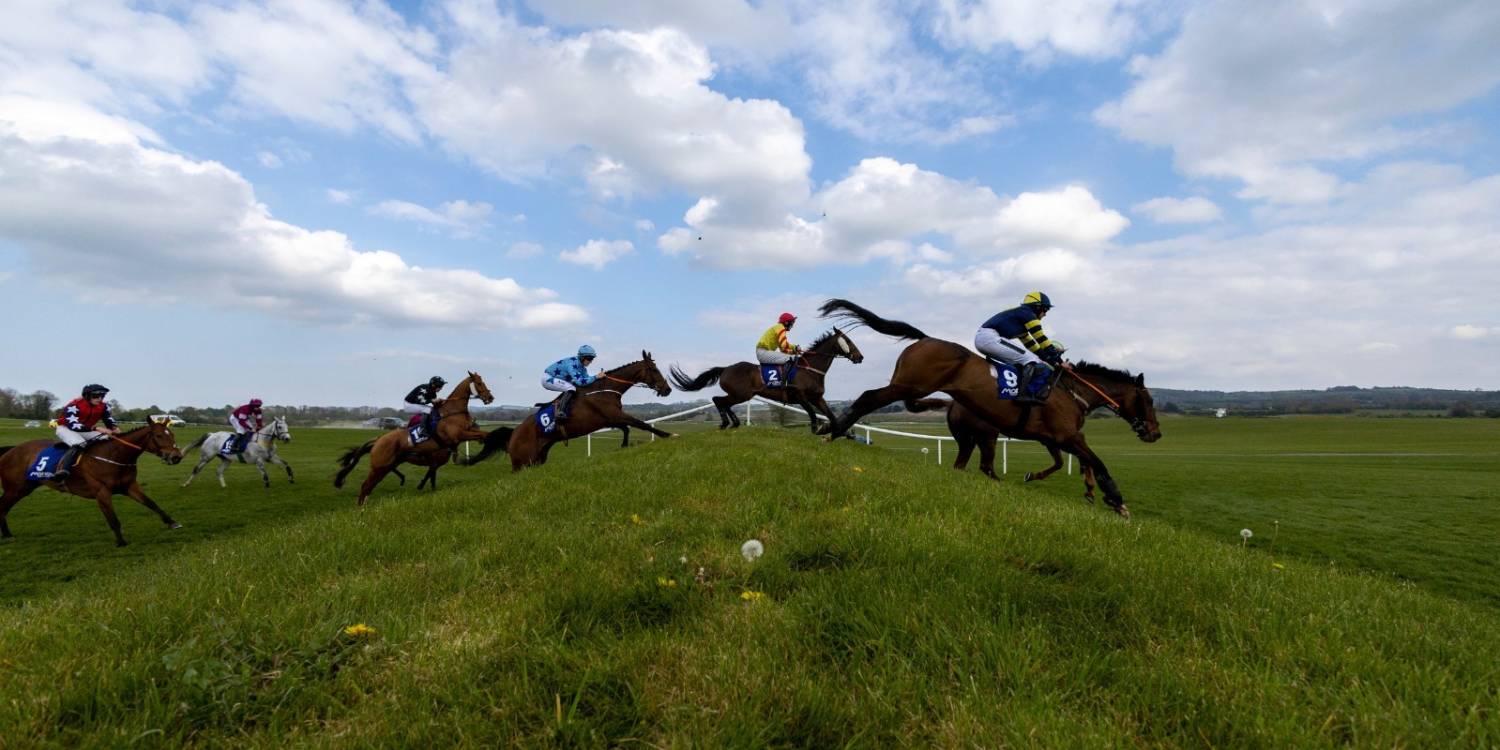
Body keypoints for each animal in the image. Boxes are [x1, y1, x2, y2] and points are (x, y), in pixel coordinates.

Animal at [0, 419, 185, 546]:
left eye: (172, 434)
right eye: (159, 435)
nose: (177, 456)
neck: (114, 455)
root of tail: (11, 449)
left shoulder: (129, 486)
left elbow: (152, 503)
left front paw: (172, 522)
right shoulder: (101, 492)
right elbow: (113, 519)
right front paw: (121, 542)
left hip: (25, 488)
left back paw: (7, 535)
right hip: (15, 489)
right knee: (2, 507)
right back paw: (7, 535)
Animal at [333, 371, 495, 506]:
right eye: (479, 383)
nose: (490, 397)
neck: (452, 411)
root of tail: (378, 440)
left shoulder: (465, 432)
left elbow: (483, 433)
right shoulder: (457, 436)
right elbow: (484, 435)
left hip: (385, 466)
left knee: (369, 487)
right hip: (379, 466)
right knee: (365, 486)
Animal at [467, 352, 674, 472]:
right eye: (654, 369)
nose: (667, 389)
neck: (605, 389)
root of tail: (514, 433)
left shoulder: (610, 419)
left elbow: (627, 428)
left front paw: (624, 445)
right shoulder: (614, 415)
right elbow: (641, 424)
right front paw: (668, 434)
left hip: (538, 458)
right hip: (522, 462)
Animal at [668, 328, 864, 433]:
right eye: (848, 340)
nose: (860, 357)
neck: (810, 370)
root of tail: (726, 368)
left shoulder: (817, 398)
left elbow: (831, 416)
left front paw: (844, 434)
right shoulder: (799, 396)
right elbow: (813, 414)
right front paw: (816, 431)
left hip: (741, 395)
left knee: (723, 402)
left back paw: (734, 423)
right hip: (741, 394)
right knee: (719, 400)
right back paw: (725, 422)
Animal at [906, 397, 1101, 501]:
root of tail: (952, 402)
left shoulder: (1053, 440)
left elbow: (1063, 461)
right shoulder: (1057, 438)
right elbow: (1076, 456)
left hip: (967, 439)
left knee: (960, 464)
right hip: (987, 435)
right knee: (985, 465)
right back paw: (1000, 483)